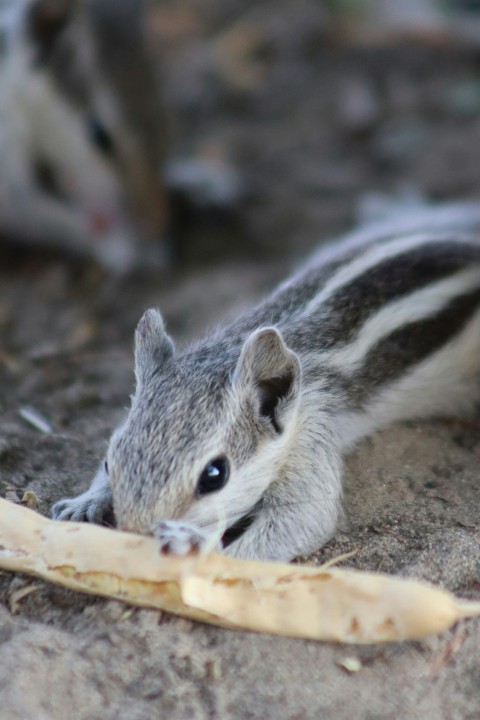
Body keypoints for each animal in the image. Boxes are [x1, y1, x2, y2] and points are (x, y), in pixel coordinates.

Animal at [53, 202, 480, 564]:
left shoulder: (309, 437)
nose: (135, 533)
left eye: (214, 475)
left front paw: (197, 545)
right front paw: (85, 501)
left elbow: (304, 520)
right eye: (109, 460)